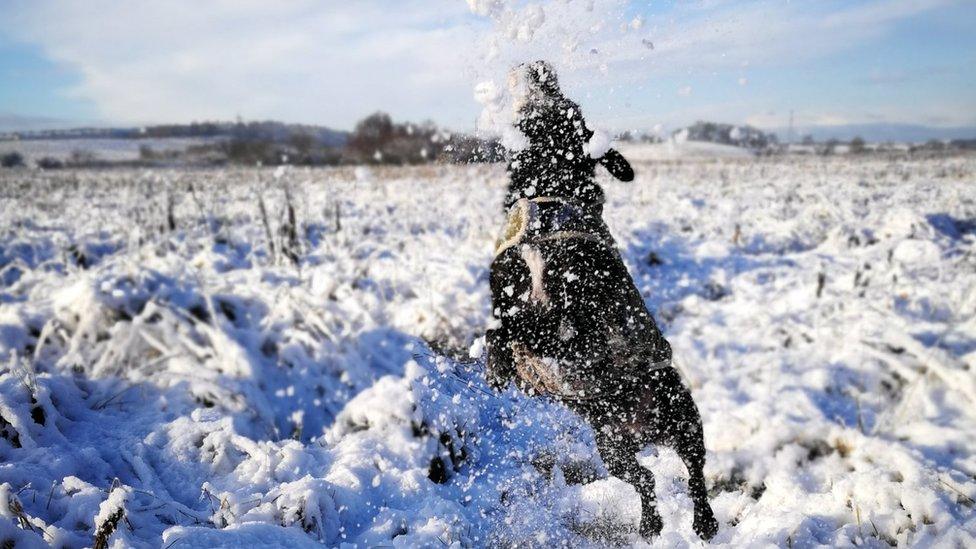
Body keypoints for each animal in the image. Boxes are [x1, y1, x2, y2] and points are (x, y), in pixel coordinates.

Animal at [486, 61, 716, 540]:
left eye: (567, 107)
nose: (539, 66)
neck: (549, 189)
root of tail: (645, 428)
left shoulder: (571, 308)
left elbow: (514, 328)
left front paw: (499, 365)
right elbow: (505, 331)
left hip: (677, 422)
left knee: (683, 476)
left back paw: (685, 522)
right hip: (620, 444)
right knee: (661, 477)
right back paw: (673, 523)